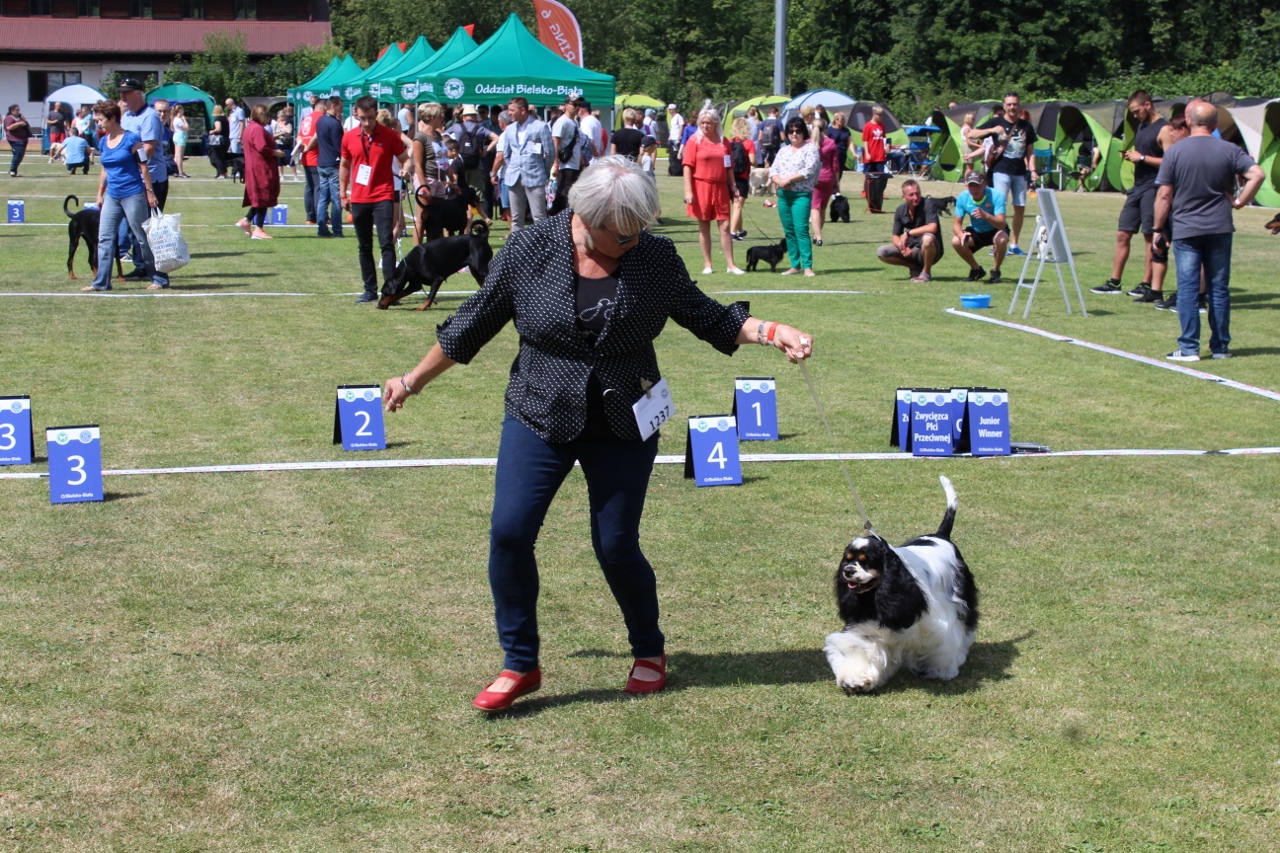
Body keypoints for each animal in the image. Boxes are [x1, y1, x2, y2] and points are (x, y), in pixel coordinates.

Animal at [824, 476, 979, 694]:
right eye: (847, 559)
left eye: (866, 561)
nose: (847, 571)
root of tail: (941, 536)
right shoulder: (867, 626)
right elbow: (860, 647)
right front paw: (856, 679)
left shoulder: (937, 622)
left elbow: (941, 646)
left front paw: (939, 670)